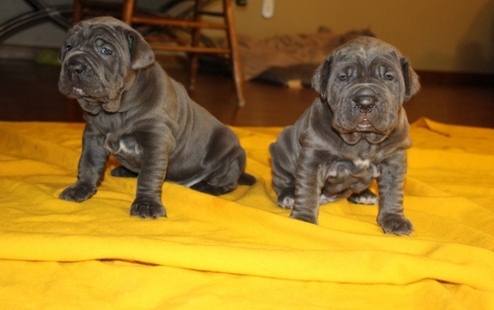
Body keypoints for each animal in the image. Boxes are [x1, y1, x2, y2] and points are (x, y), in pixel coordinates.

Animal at [58, 16, 255, 218]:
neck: (115, 111)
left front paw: (146, 204)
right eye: (68, 47)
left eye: (106, 51)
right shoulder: (94, 136)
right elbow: (88, 164)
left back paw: (204, 187)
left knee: (228, 183)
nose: (74, 66)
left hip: (231, 156)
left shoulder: (156, 140)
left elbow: (149, 175)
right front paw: (80, 188)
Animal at [268, 35, 418, 235]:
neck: (362, 139)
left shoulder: (394, 160)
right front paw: (303, 219)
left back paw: (364, 195)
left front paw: (394, 219)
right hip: (281, 150)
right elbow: (307, 188)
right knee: (283, 180)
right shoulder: (313, 158)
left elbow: (394, 192)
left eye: (388, 77)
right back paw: (288, 196)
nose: (365, 101)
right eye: (343, 77)